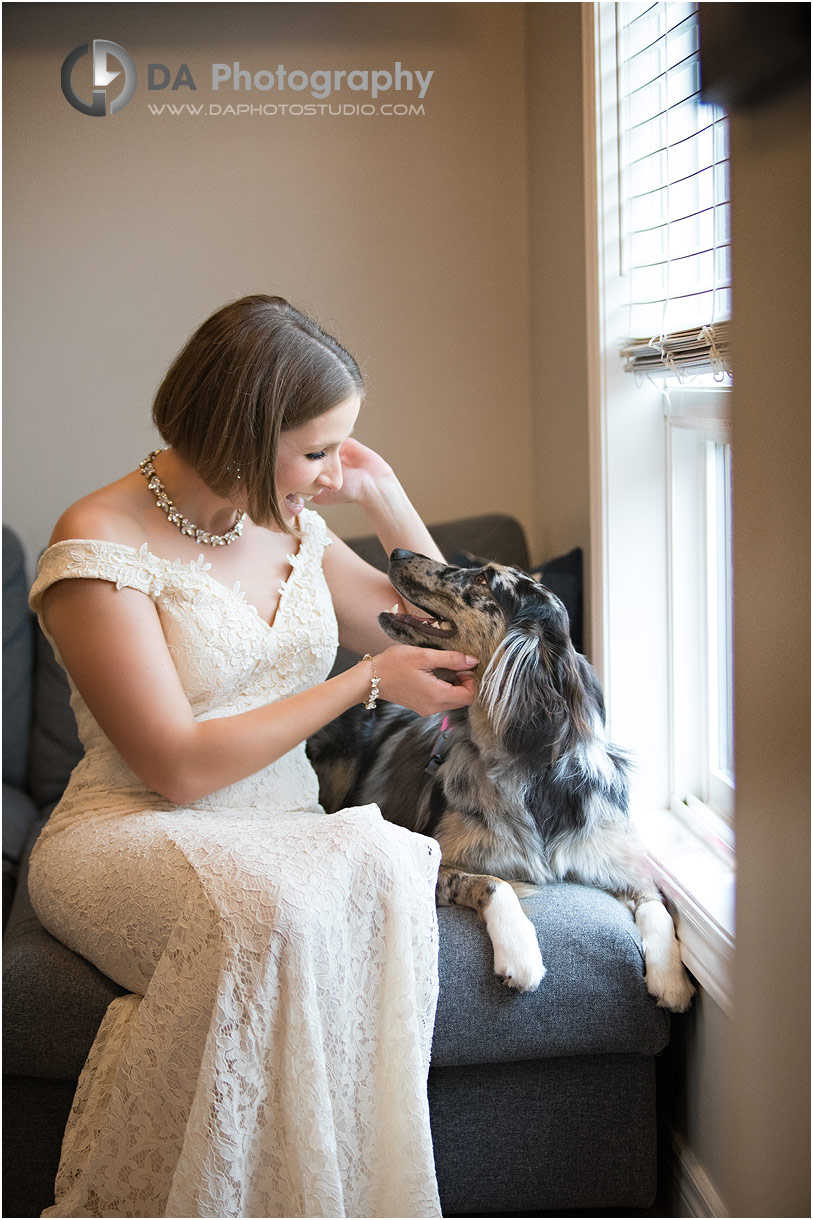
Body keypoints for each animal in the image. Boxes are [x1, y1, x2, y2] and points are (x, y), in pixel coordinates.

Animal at [307, 551, 693, 1010]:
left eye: (485, 580)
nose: (398, 552)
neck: (530, 774)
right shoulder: (432, 860)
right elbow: (494, 883)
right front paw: (520, 953)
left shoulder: (614, 857)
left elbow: (656, 903)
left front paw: (670, 976)